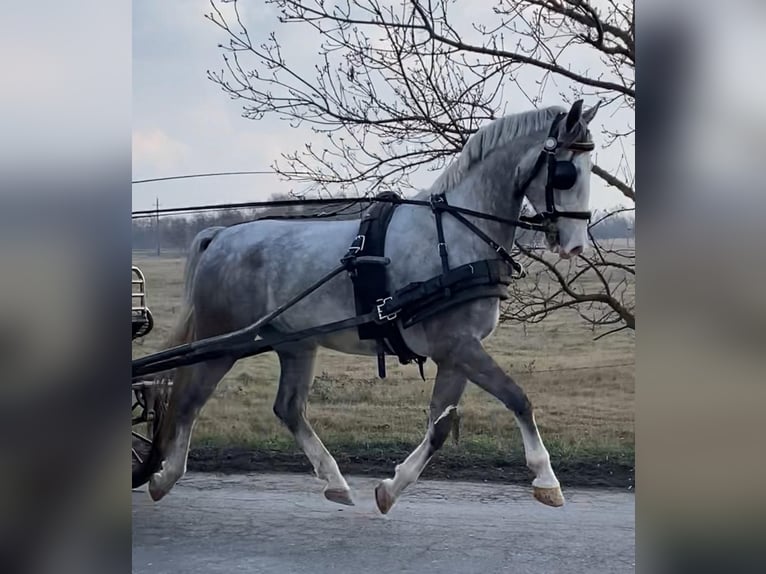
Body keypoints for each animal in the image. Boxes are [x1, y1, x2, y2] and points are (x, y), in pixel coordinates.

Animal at [150, 98, 604, 512]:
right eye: (566, 173)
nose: (575, 244)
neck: (454, 234)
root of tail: (221, 236)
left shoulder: (455, 350)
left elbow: (440, 426)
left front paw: (391, 488)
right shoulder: (457, 345)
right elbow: (517, 397)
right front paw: (546, 478)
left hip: (295, 344)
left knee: (288, 409)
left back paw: (335, 481)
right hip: (223, 341)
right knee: (189, 399)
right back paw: (165, 475)